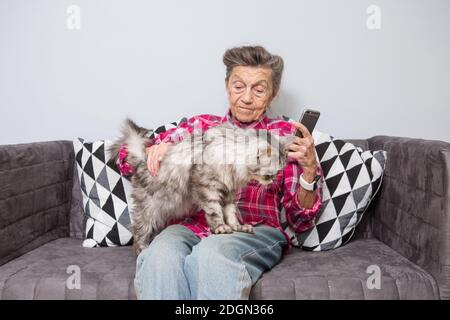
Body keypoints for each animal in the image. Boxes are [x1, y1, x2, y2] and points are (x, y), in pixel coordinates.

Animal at [109, 118, 292, 255]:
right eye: (270, 174)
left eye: (279, 172)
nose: (273, 180)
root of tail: (142, 160)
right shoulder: (207, 187)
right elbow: (215, 212)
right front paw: (221, 227)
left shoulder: (228, 193)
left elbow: (230, 213)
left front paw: (236, 227)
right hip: (149, 207)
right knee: (140, 229)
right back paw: (143, 248)